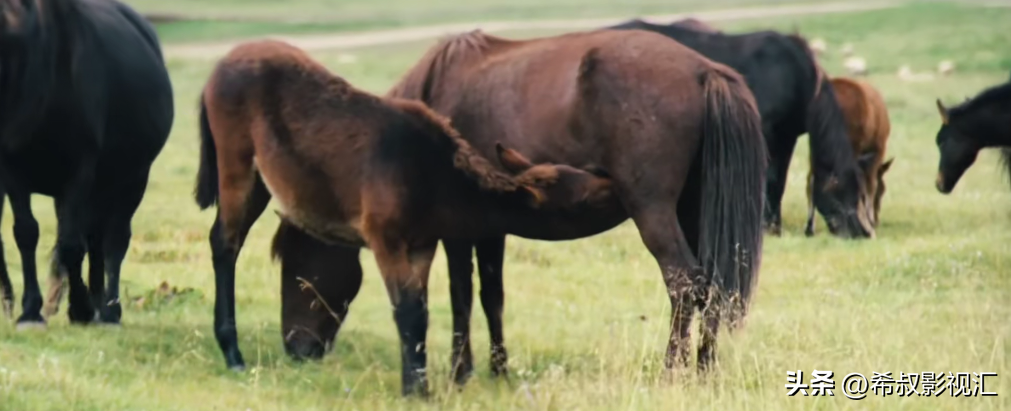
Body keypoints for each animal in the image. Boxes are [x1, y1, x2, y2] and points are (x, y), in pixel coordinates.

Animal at [0, 0, 172, 329]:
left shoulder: (81, 171)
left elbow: (71, 244)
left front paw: (79, 308)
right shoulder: (13, 172)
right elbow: (26, 233)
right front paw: (31, 311)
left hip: (132, 179)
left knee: (114, 239)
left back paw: (108, 310)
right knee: (94, 239)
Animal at [190, 40, 614, 397]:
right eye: (584, 198)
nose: (612, 182)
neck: (435, 173)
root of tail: (219, 67)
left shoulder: (422, 244)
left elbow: (421, 311)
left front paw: (420, 382)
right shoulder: (386, 240)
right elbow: (407, 311)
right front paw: (417, 392)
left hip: (263, 180)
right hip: (237, 168)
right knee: (225, 242)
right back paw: (232, 352)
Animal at [380, 30, 764, 387]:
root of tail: (703, 71)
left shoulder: (458, 233)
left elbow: (460, 297)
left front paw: (461, 374)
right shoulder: (491, 230)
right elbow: (492, 296)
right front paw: (498, 369)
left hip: (653, 212)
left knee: (683, 282)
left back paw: (671, 370)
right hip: (694, 215)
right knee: (712, 285)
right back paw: (705, 369)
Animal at [606, 18, 877, 238]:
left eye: (862, 193)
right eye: (843, 189)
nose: (861, 233)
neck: (794, 75)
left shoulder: (786, 137)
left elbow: (779, 183)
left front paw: (774, 226)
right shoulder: (767, 133)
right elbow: (770, 178)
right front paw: (767, 228)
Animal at [804, 77, 893, 236]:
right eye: (882, 191)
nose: (877, 220)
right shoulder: (877, 151)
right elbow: (869, 185)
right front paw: (869, 220)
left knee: (811, 179)